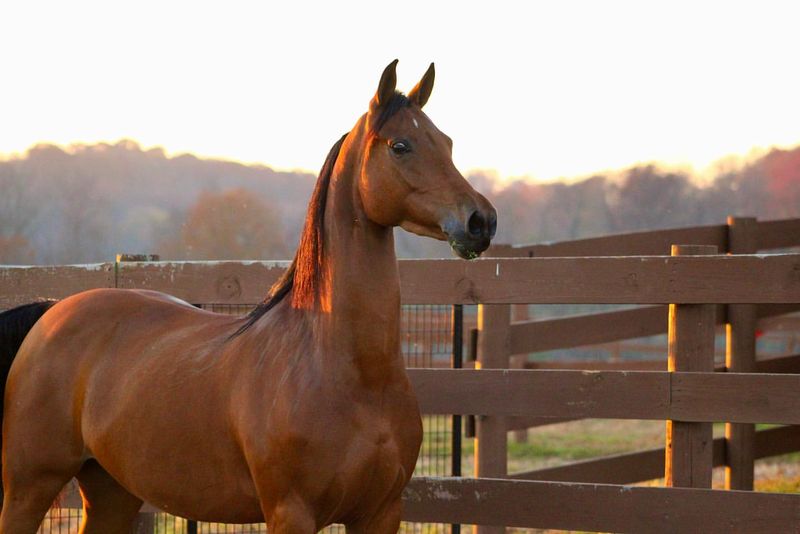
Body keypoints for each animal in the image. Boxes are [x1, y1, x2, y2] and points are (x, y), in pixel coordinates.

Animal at [1, 60, 494, 532]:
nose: (481, 221)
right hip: (29, 487)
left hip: (111, 490)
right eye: (400, 146)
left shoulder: (381, 514)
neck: (344, 367)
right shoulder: (291, 513)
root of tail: (51, 313)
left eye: (447, 143)